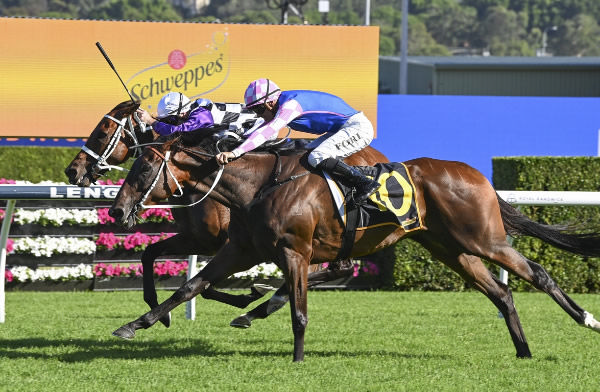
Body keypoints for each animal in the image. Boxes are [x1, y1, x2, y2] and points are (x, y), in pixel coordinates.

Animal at [64, 99, 390, 326]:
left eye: (102, 132)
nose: (72, 170)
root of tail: (378, 154)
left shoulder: (219, 241)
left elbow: (205, 286)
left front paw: (250, 295)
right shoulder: (198, 238)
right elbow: (151, 254)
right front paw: (159, 308)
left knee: (334, 268)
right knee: (338, 268)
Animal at [109, 132, 600, 362]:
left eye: (144, 168)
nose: (117, 209)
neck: (258, 185)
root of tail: (480, 175)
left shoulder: (295, 252)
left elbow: (299, 311)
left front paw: (297, 358)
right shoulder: (241, 250)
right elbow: (188, 287)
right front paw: (136, 324)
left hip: (483, 239)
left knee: (537, 272)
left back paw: (586, 319)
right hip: (449, 249)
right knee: (501, 292)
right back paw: (523, 350)